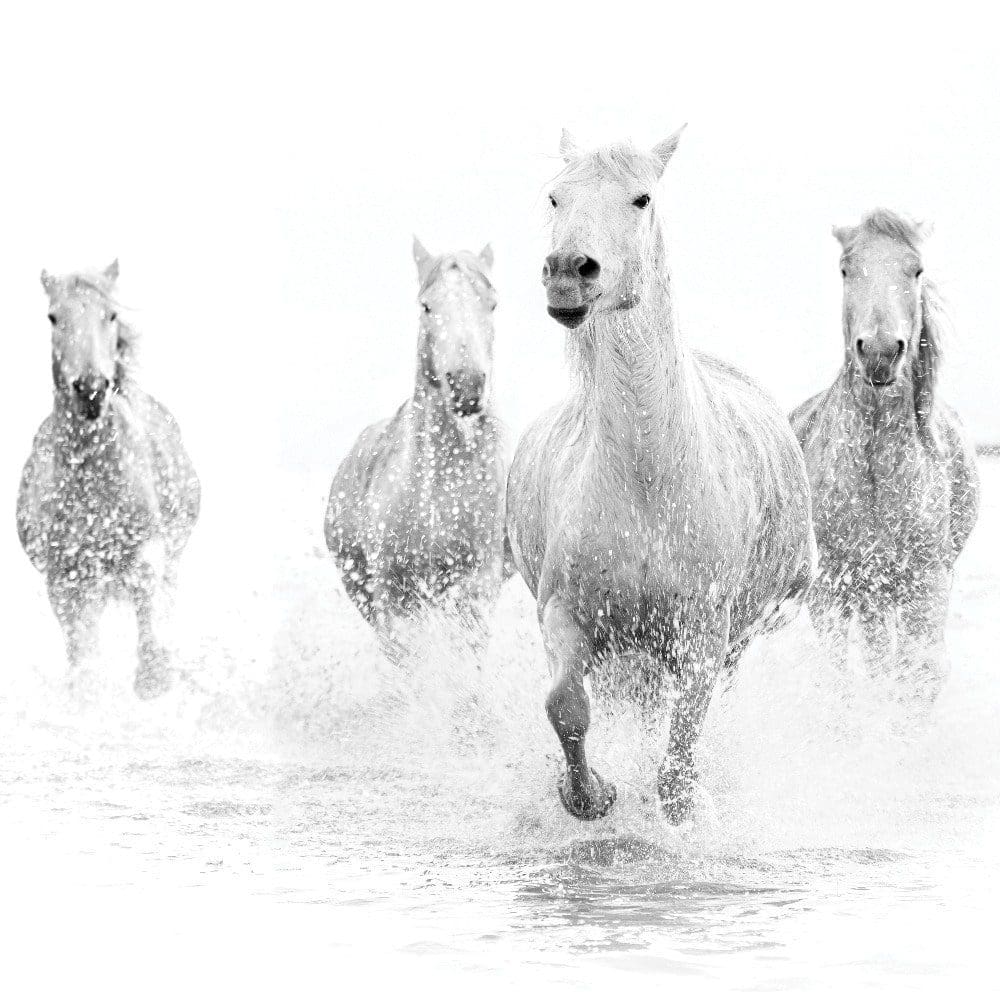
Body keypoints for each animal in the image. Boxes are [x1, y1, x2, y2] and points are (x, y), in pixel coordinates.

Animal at [16, 261, 201, 698]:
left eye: (111, 315)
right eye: (53, 317)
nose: (91, 389)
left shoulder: (146, 555)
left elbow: (149, 627)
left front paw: (155, 678)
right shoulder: (64, 580)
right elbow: (82, 660)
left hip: (172, 556)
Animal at [506, 128, 816, 823]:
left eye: (642, 197)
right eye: (555, 196)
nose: (568, 272)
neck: (647, 480)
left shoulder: (703, 633)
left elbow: (681, 750)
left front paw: (674, 814)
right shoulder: (565, 614)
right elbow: (565, 706)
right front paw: (589, 796)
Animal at [790, 209, 980, 703]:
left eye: (916, 270)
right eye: (845, 269)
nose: (879, 352)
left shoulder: (926, 584)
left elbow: (920, 673)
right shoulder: (831, 590)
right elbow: (836, 681)